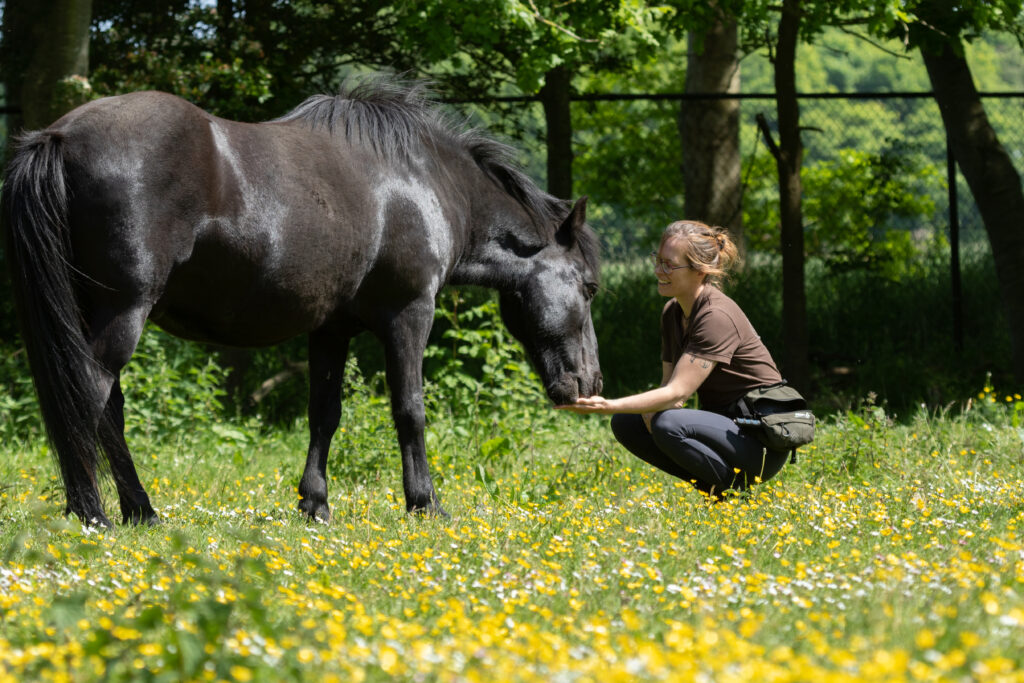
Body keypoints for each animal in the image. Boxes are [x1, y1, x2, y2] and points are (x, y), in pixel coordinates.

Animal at [2, 81, 598, 528]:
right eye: (590, 287)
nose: (589, 383)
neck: (422, 181)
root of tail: (59, 135)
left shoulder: (330, 328)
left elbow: (323, 414)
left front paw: (315, 503)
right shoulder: (409, 316)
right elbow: (410, 410)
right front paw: (425, 503)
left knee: (108, 412)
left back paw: (140, 512)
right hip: (123, 313)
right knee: (89, 397)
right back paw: (94, 515)